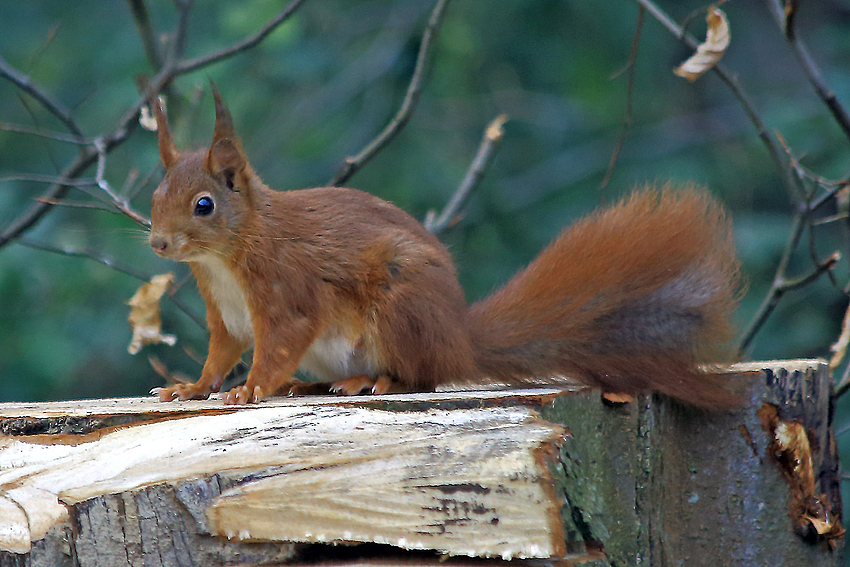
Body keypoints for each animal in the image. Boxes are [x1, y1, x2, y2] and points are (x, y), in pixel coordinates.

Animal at [149, 86, 740, 406]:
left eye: (204, 205)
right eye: (155, 195)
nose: (157, 242)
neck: (225, 258)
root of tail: (459, 340)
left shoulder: (286, 286)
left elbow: (279, 342)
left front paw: (249, 389)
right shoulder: (225, 313)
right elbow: (220, 353)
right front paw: (189, 388)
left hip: (401, 307)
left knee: (422, 375)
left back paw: (373, 378)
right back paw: (310, 385)